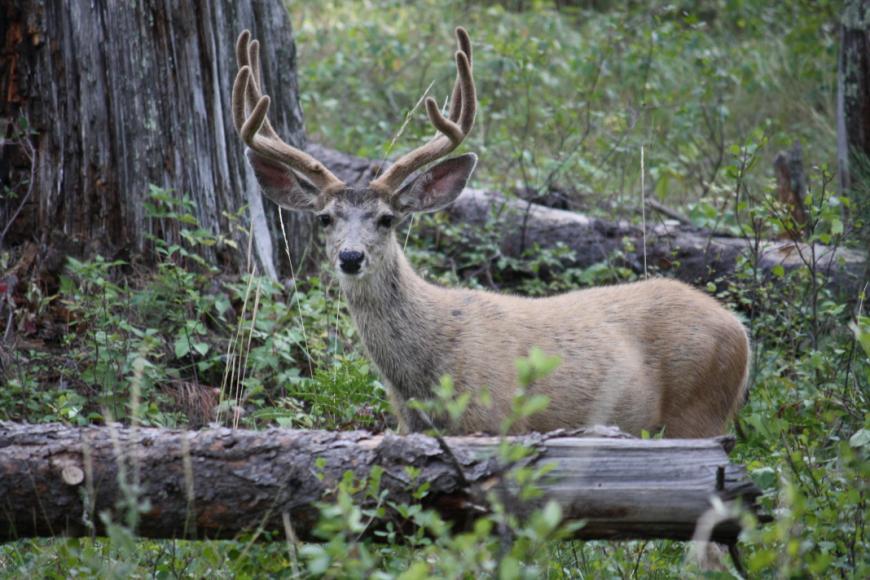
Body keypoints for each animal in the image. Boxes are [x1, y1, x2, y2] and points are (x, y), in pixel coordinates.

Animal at [231, 28, 750, 438]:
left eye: (387, 218)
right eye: (325, 218)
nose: (351, 257)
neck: (424, 371)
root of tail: (740, 329)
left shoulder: (494, 420)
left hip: (700, 412)